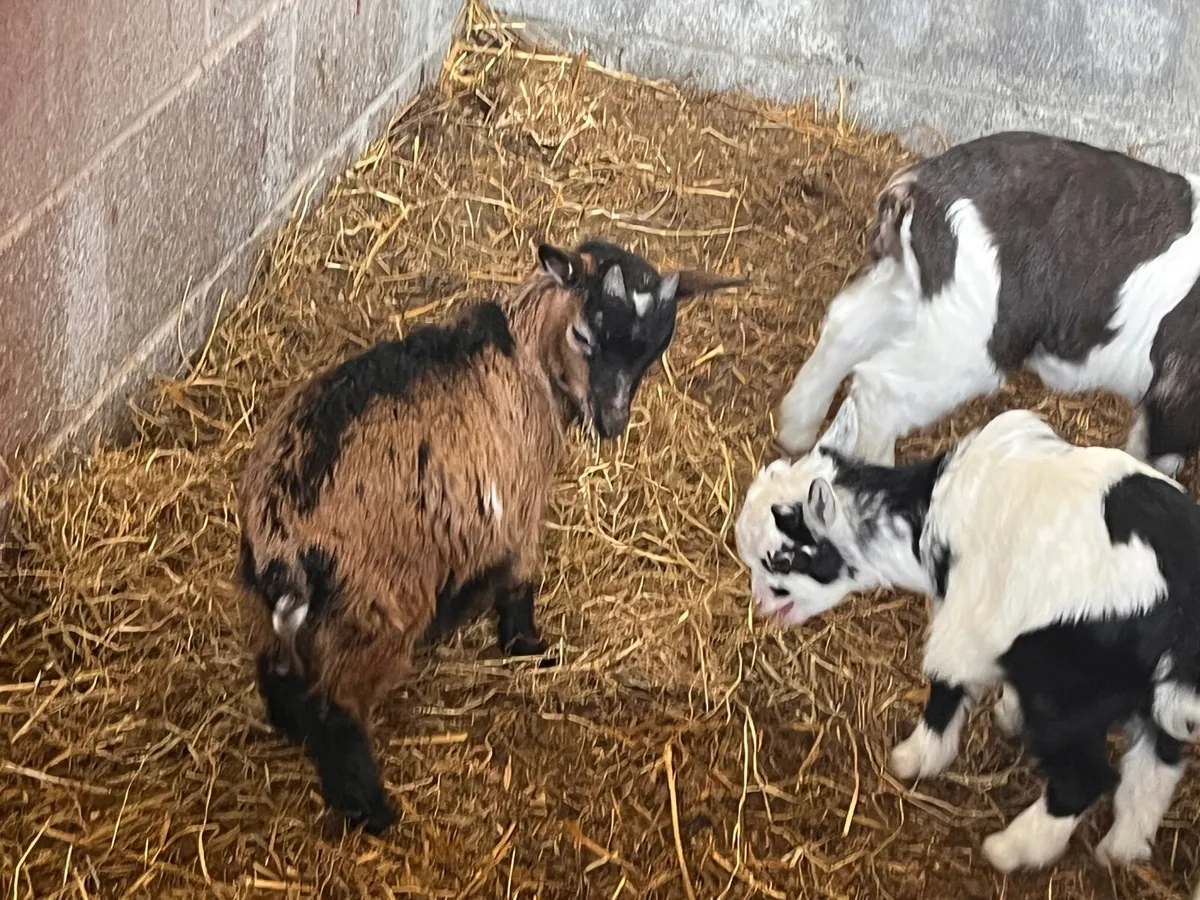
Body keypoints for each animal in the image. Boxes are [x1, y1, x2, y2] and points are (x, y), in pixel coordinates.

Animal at [236, 238, 744, 833]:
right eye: (584, 335)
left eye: (654, 350)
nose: (612, 421)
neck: (521, 354)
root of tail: (284, 544)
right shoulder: (520, 500)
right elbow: (519, 577)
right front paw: (528, 647)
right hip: (379, 604)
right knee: (338, 707)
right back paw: (371, 809)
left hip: (270, 605)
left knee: (278, 672)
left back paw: (290, 725)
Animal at [736, 398, 1200, 876]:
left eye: (781, 561)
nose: (761, 604)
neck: (924, 521)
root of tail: (1181, 600)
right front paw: (1008, 713)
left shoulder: (964, 621)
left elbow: (947, 684)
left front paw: (916, 758)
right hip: (1142, 689)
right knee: (1159, 761)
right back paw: (1122, 848)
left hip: (1068, 688)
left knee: (1084, 779)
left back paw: (1013, 849)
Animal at [775, 131, 1200, 474]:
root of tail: (921, 183)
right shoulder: (1176, 396)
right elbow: (1154, 452)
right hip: (973, 339)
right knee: (881, 388)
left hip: (915, 288)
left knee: (846, 325)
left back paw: (795, 430)